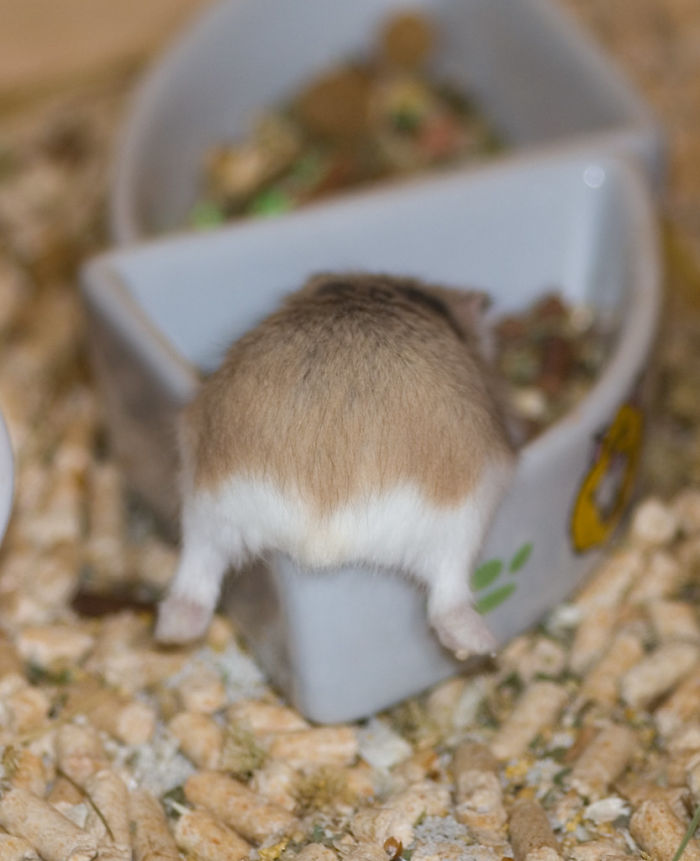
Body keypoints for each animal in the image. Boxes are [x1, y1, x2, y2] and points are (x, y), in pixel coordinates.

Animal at [155, 273, 516, 659]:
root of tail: (319, 533)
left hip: (205, 507)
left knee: (195, 578)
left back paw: (172, 630)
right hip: (463, 521)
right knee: (447, 600)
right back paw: (484, 644)